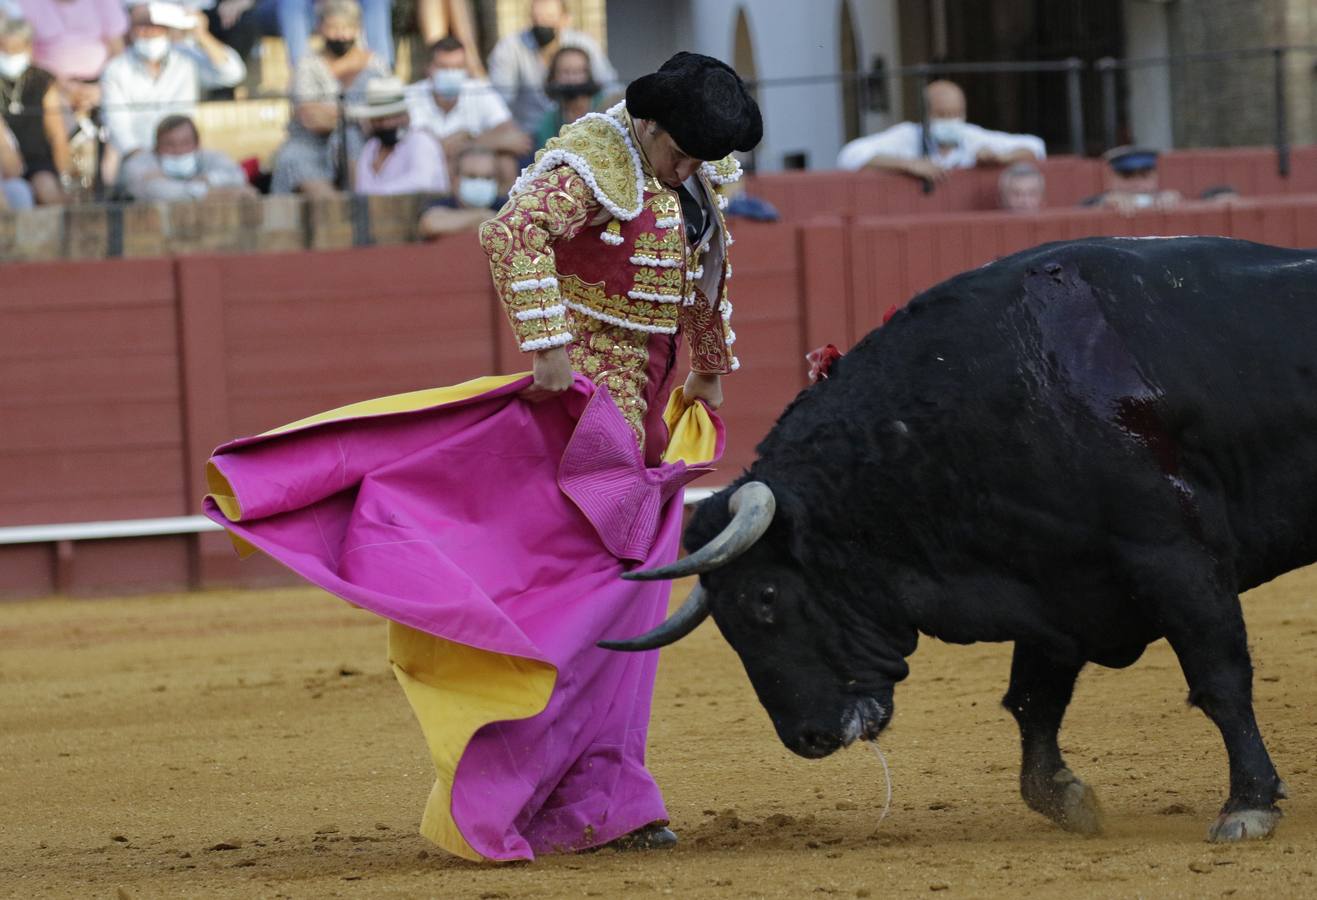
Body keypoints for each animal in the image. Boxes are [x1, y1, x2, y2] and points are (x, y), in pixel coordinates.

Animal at [603, 235, 1311, 843]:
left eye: (766, 598)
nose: (806, 737)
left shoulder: (1175, 557)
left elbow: (1219, 678)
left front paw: (1247, 804)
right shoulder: (1053, 582)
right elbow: (1031, 701)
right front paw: (1067, 799)